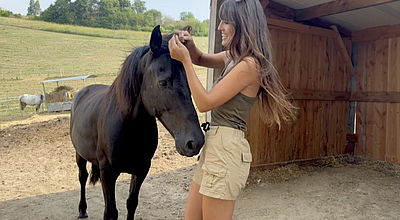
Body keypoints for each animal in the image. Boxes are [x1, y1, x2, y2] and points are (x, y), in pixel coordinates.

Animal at [69, 26, 205, 220]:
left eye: (189, 82)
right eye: (163, 82)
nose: (195, 142)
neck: (129, 128)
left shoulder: (141, 170)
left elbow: (131, 204)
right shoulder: (107, 173)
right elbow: (110, 211)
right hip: (79, 154)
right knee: (82, 177)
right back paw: (82, 209)